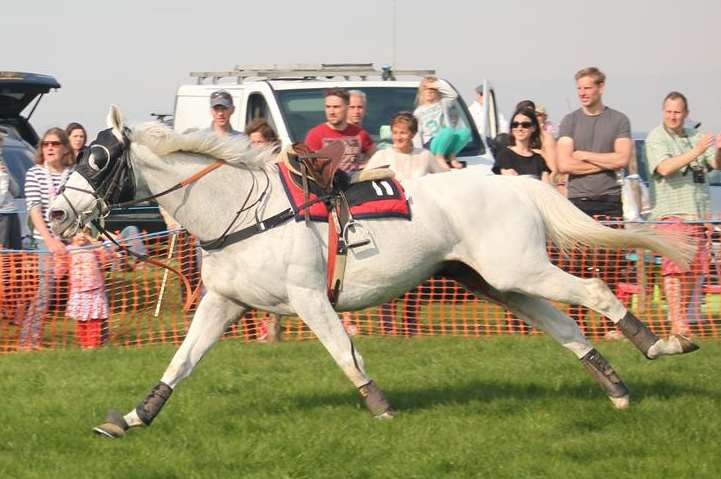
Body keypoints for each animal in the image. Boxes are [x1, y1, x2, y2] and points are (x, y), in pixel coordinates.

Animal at [47, 109, 696, 438]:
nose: (54, 214)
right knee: (566, 328)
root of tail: (516, 183)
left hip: (522, 269)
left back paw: (662, 343)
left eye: (98, 158)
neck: (243, 210)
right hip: (501, 283)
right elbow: (181, 362)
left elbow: (344, 351)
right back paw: (617, 390)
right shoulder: (223, 303)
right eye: (75, 152)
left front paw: (380, 406)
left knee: (596, 290)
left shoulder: (309, 298)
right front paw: (133, 417)